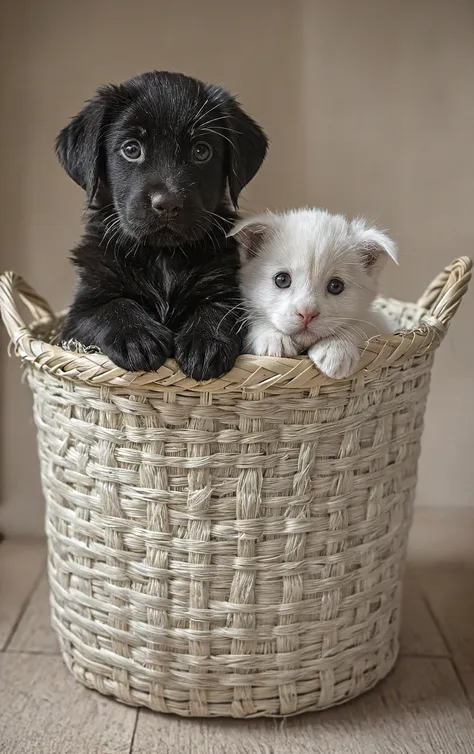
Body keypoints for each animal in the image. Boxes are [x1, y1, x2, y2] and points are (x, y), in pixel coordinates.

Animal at [55, 70, 266, 376]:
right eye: (132, 149)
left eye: (201, 151)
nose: (167, 204)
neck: (163, 257)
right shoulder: (79, 314)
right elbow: (111, 307)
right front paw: (138, 337)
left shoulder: (227, 289)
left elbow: (216, 308)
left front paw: (206, 341)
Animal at [231, 209, 398, 378]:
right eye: (282, 280)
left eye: (335, 286)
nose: (307, 313)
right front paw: (272, 337)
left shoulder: (377, 323)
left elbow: (361, 324)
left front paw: (336, 347)